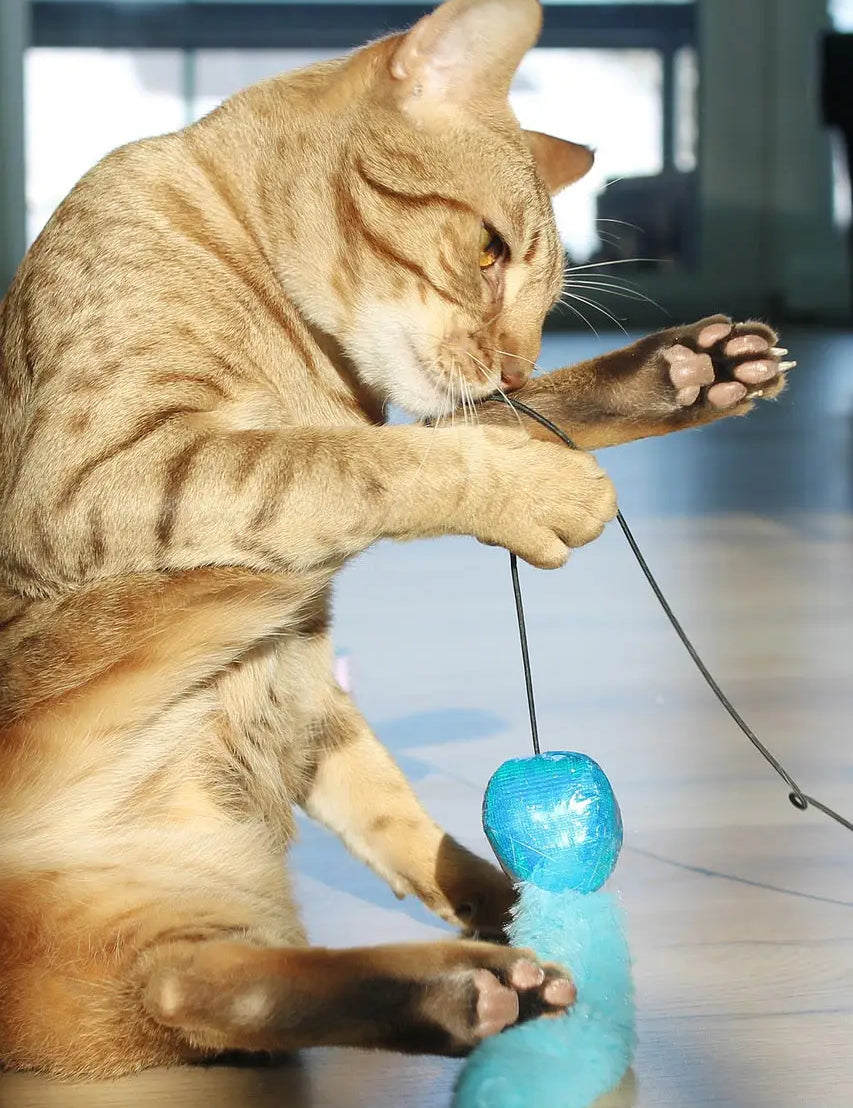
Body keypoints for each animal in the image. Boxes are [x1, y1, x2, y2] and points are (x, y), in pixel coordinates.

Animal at [0, 0, 784, 1081]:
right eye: (488, 252)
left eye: (545, 302)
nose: (516, 358)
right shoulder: (97, 480)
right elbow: (358, 458)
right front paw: (538, 482)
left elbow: (449, 427)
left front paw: (673, 374)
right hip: (189, 605)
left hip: (254, 766)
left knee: (212, 981)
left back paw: (479, 972)